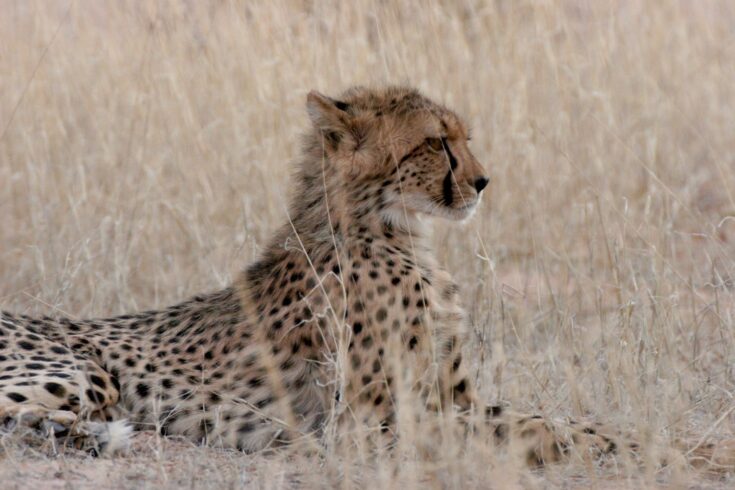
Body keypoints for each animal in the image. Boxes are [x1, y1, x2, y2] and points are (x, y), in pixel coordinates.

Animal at [1, 87, 735, 470]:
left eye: (463, 139)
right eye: (436, 143)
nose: (482, 182)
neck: (383, 228)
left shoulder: (452, 398)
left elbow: (569, 419)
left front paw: (692, 445)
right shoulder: (377, 429)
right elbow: (551, 431)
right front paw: (685, 455)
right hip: (84, 375)